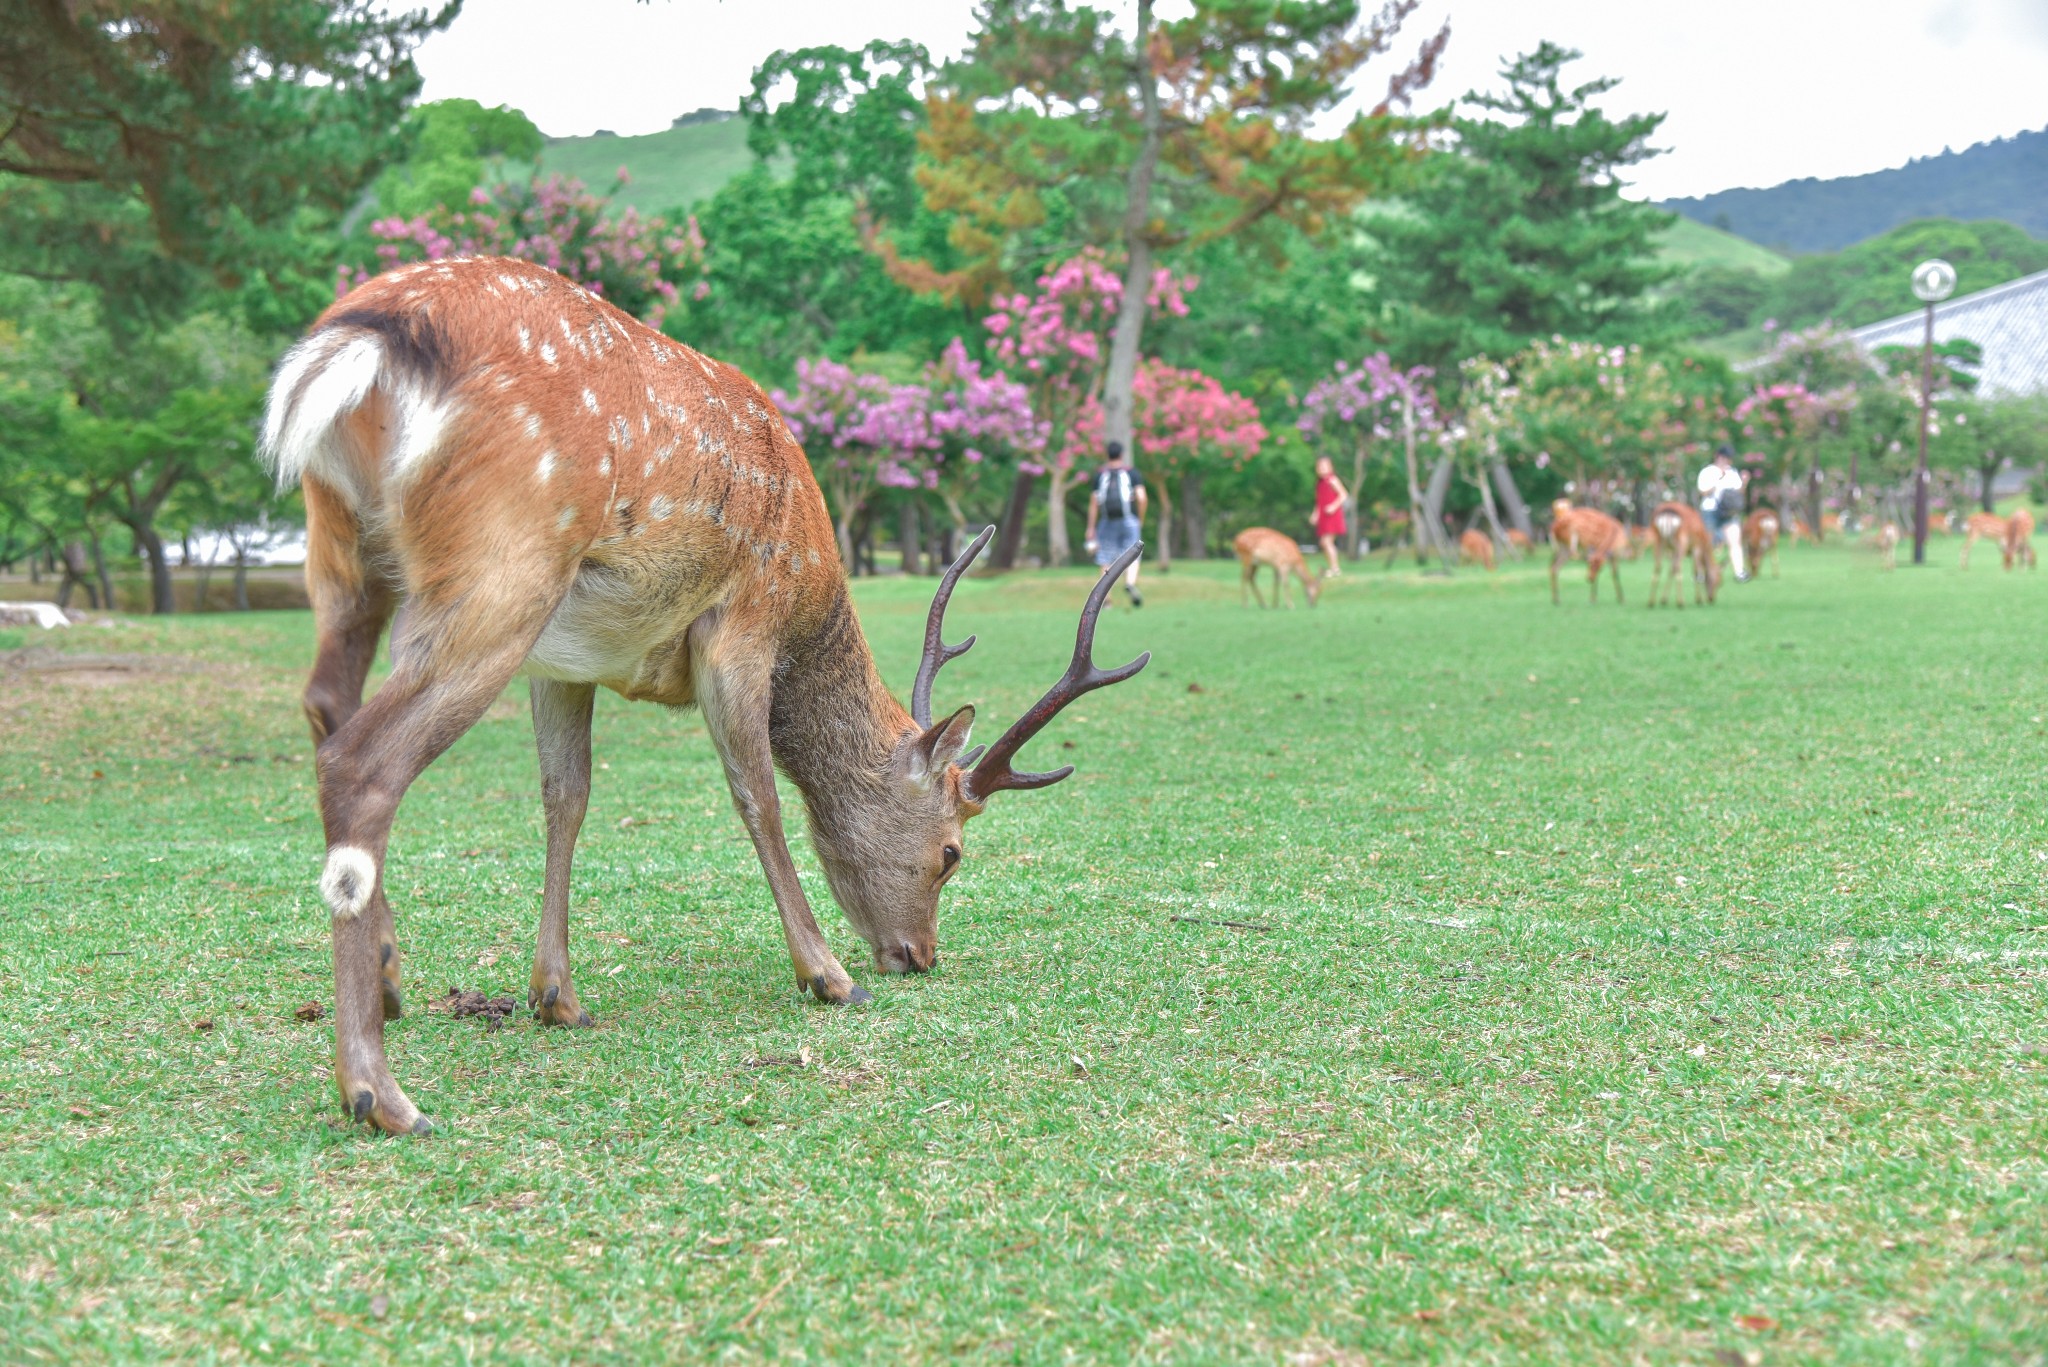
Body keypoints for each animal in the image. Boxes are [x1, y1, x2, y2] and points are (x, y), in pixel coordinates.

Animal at [260, 256, 1155, 1131]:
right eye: (951, 853)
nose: (918, 956)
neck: (810, 595)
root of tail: (361, 342)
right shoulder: (742, 623)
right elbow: (758, 793)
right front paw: (828, 975)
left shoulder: (564, 661)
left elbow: (566, 794)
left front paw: (557, 996)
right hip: (506, 558)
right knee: (361, 762)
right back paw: (378, 1092)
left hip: (345, 552)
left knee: (325, 704)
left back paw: (388, 978)